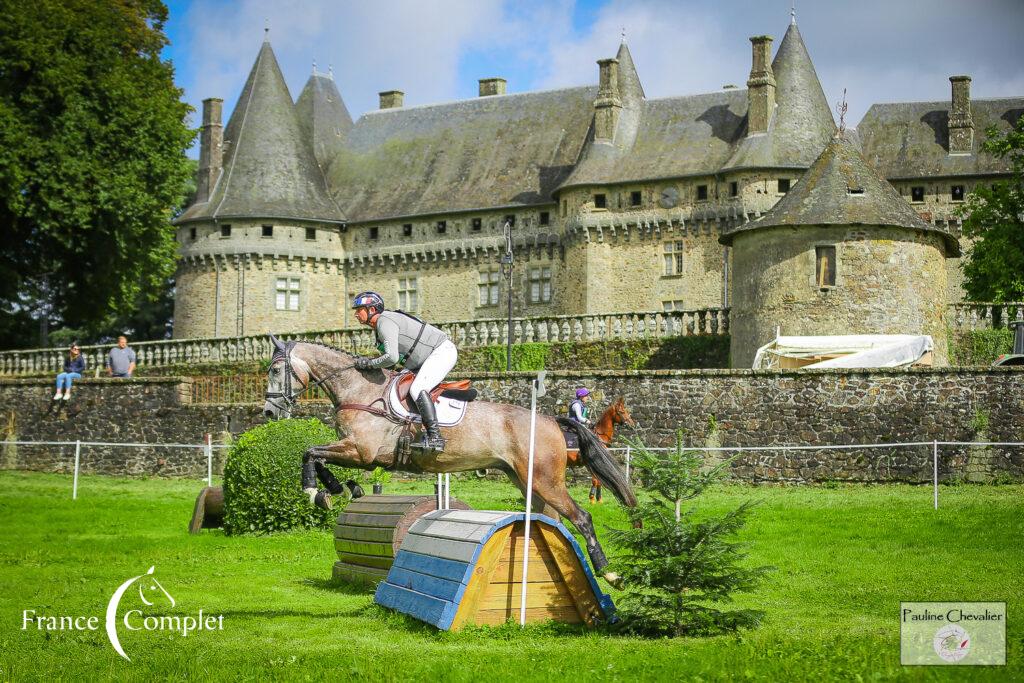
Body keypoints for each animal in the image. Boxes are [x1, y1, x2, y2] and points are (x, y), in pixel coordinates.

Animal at [260, 335, 634, 581]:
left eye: (276, 371)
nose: (268, 412)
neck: (361, 390)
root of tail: (549, 419)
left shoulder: (362, 452)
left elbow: (310, 451)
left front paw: (316, 490)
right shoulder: (360, 454)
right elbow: (316, 456)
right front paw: (335, 489)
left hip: (545, 480)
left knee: (582, 517)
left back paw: (607, 572)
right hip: (526, 480)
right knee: (550, 518)